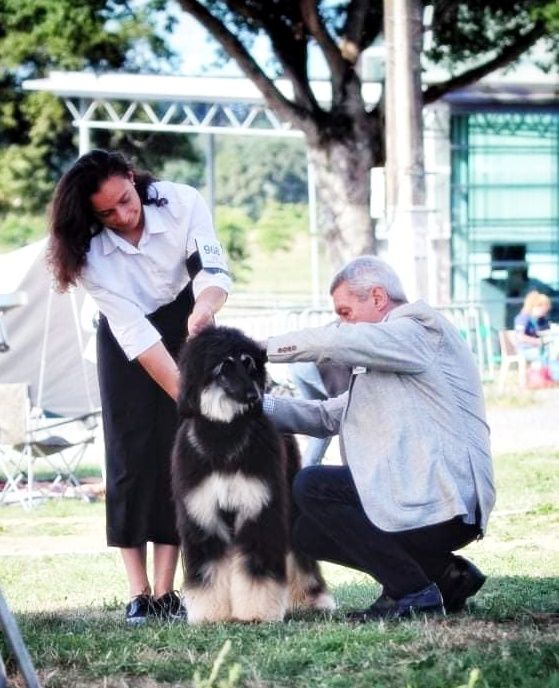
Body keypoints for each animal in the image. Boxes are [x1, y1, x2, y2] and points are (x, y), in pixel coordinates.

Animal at [173, 324, 334, 624]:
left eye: (248, 363)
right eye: (225, 365)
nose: (254, 396)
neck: (224, 433)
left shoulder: (258, 507)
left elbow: (257, 568)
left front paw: (257, 612)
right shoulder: (203, 514)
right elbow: (209, 570)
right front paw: (210, 613)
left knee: (298, 557)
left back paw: (312, 599)